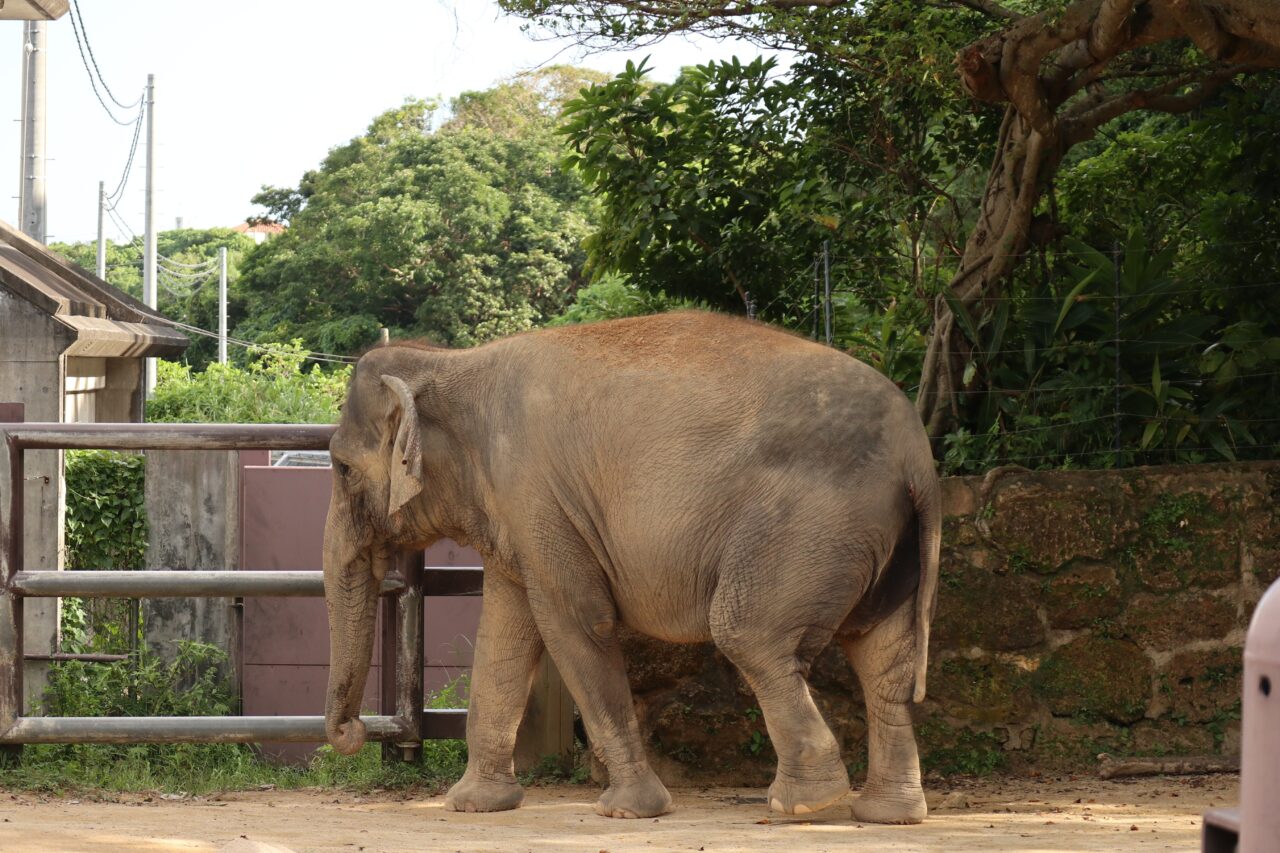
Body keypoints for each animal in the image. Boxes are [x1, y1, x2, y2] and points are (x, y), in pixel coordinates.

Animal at [320, 308, 942, 819]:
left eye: (342, 469)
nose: (353, 731)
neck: (450, 361)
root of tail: (920, 455)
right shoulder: (518, 512)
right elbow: (505, 633)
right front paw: (475, 806)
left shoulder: (536, 494)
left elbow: (574, 621)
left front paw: (628, 810)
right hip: (879, 540)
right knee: (882, 655)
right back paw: (888, 813)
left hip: (810, 526)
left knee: (750, 634)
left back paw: (807, 804)